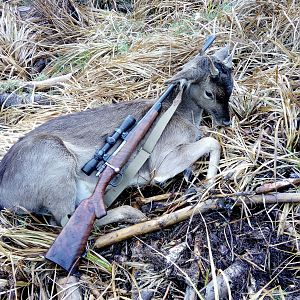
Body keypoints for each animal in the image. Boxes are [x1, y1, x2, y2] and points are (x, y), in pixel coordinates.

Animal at [0, 46, 232, 225]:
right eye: (209, 93)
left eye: (231, 87)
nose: (226, 121)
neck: (181, 115)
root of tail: (5, 197)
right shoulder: (161, 160)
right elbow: (212, 141)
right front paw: (209, 183)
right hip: (55, 164)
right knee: (65, 219)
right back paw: (134, 214)